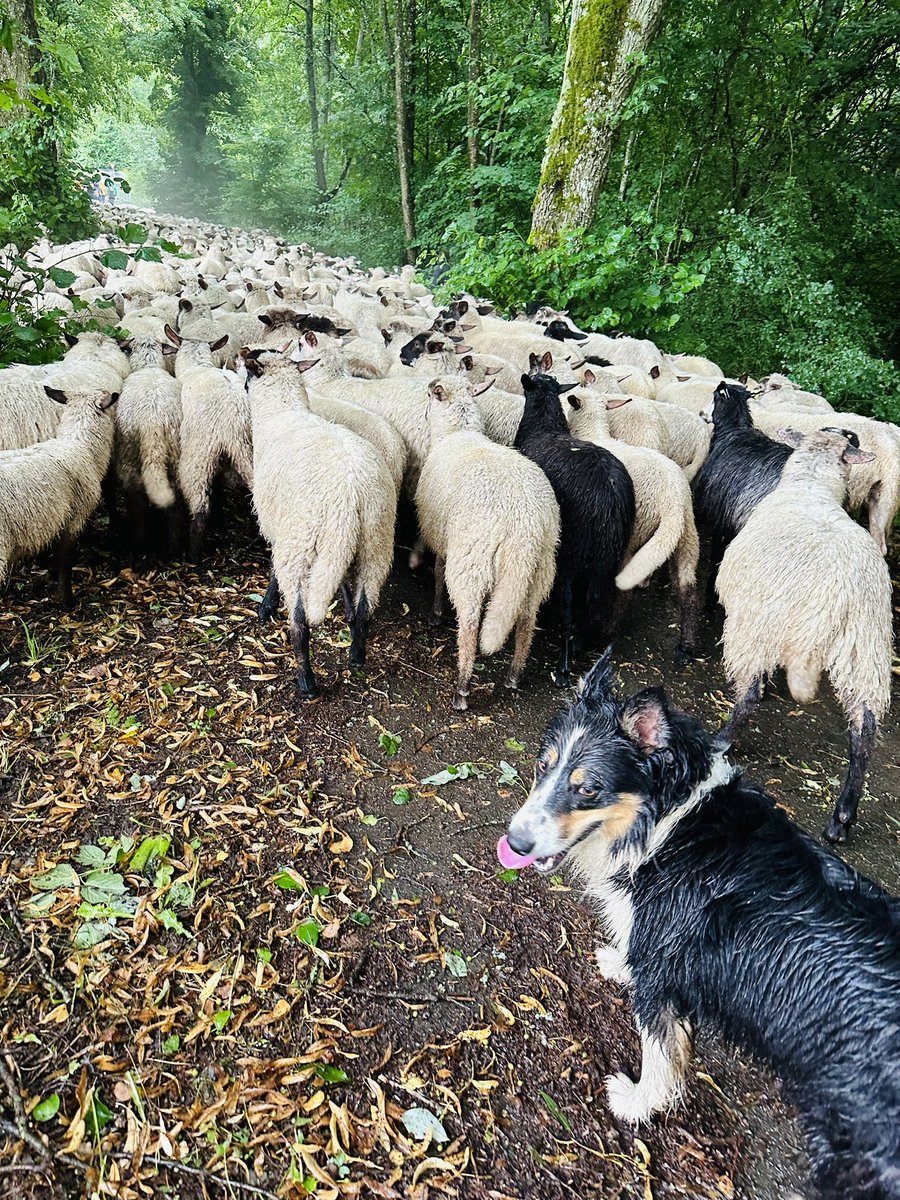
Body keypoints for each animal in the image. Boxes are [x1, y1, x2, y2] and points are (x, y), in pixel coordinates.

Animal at [244, 348, 396, 698]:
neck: (281, 410)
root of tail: (353, 496)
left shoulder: (278, 524)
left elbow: (272, 568)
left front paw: (266, 606)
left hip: (303, 542)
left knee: (300, 621)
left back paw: (306, 682)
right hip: (375, 541)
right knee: (365, 605)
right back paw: (357, 654)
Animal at [415, 376, 560, 709]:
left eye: (429, 396)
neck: (457, 433)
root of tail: (525, 524)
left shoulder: (443, 537)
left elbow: (438, 572)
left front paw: (436, 613)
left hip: (472, 562)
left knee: (469, 623)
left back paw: (462, 687)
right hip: (541, 567)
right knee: (527, 620)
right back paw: (514, 675)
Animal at [514, 372, 636, 687]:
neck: (544, 427)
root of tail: (611, 496)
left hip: (571, 550)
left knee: (569, 605)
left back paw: (563, 666)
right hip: (609, 554)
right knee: (596, 599)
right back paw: (582, 642)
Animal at [566, 390, 700, 660]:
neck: (592, 434)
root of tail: (674, 499)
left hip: (635, 532)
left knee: (624, 591)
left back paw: (608, 629)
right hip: (688, 536)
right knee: (688, 590)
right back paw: (686, 647)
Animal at [716, 428, 893, 843]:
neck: (812, 486)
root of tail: (837, 590)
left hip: (756, 626)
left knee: (750, 691)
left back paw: (723, 738)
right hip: (865, 645)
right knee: (864, 728)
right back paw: (842, 818)